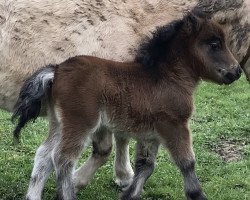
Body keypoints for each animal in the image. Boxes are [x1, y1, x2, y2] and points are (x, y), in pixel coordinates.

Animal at [12, 11, 241, 199]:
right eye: (214, 44)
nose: (236, 71)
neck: (167, 77)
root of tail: (57, 70)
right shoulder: (175, 125)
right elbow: (187, 162)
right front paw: (197, 194)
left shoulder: (151, 134)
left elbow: (145, 166)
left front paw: (129, 194)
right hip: (79, 123)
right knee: (62, 159)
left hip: (59, 123)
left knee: (44, 156)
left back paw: (33, 196)